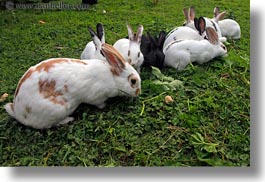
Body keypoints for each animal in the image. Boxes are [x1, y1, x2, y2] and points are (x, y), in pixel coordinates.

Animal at [4, 43, 140, 129]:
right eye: (133, 81)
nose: (138, 93)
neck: (113, 78)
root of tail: (18, 111)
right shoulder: (96, 97)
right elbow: (99, 104)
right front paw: (104, 106)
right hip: (58, 110)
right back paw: (69, 119)